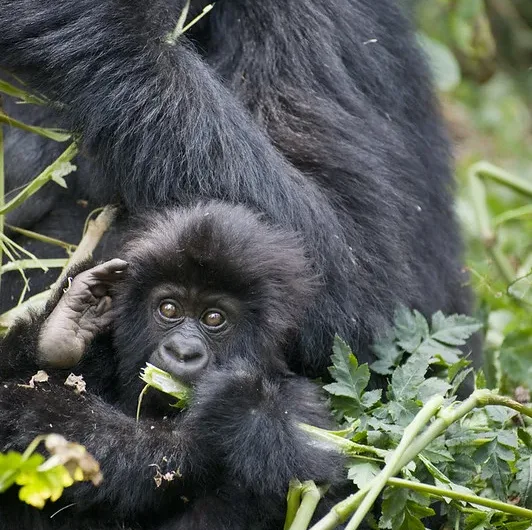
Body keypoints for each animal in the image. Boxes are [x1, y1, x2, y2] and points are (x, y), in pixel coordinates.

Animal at [0, 200, 340, 528]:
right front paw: (68, 323)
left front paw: (241, 404)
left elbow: (311, 475)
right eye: (169, 309)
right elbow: (14, 394)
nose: (182, 351)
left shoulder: (304, 406)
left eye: (214, 318)